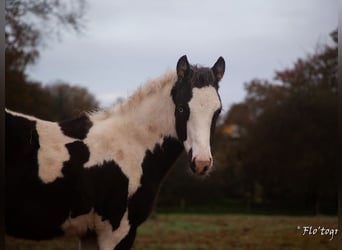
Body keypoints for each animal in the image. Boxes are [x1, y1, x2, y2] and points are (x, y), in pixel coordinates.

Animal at [5, 55, 226, 250]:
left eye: (218, 111)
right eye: (181, 109)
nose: (201, 163)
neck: (131, 145)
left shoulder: (89, 234)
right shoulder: (117, 232)